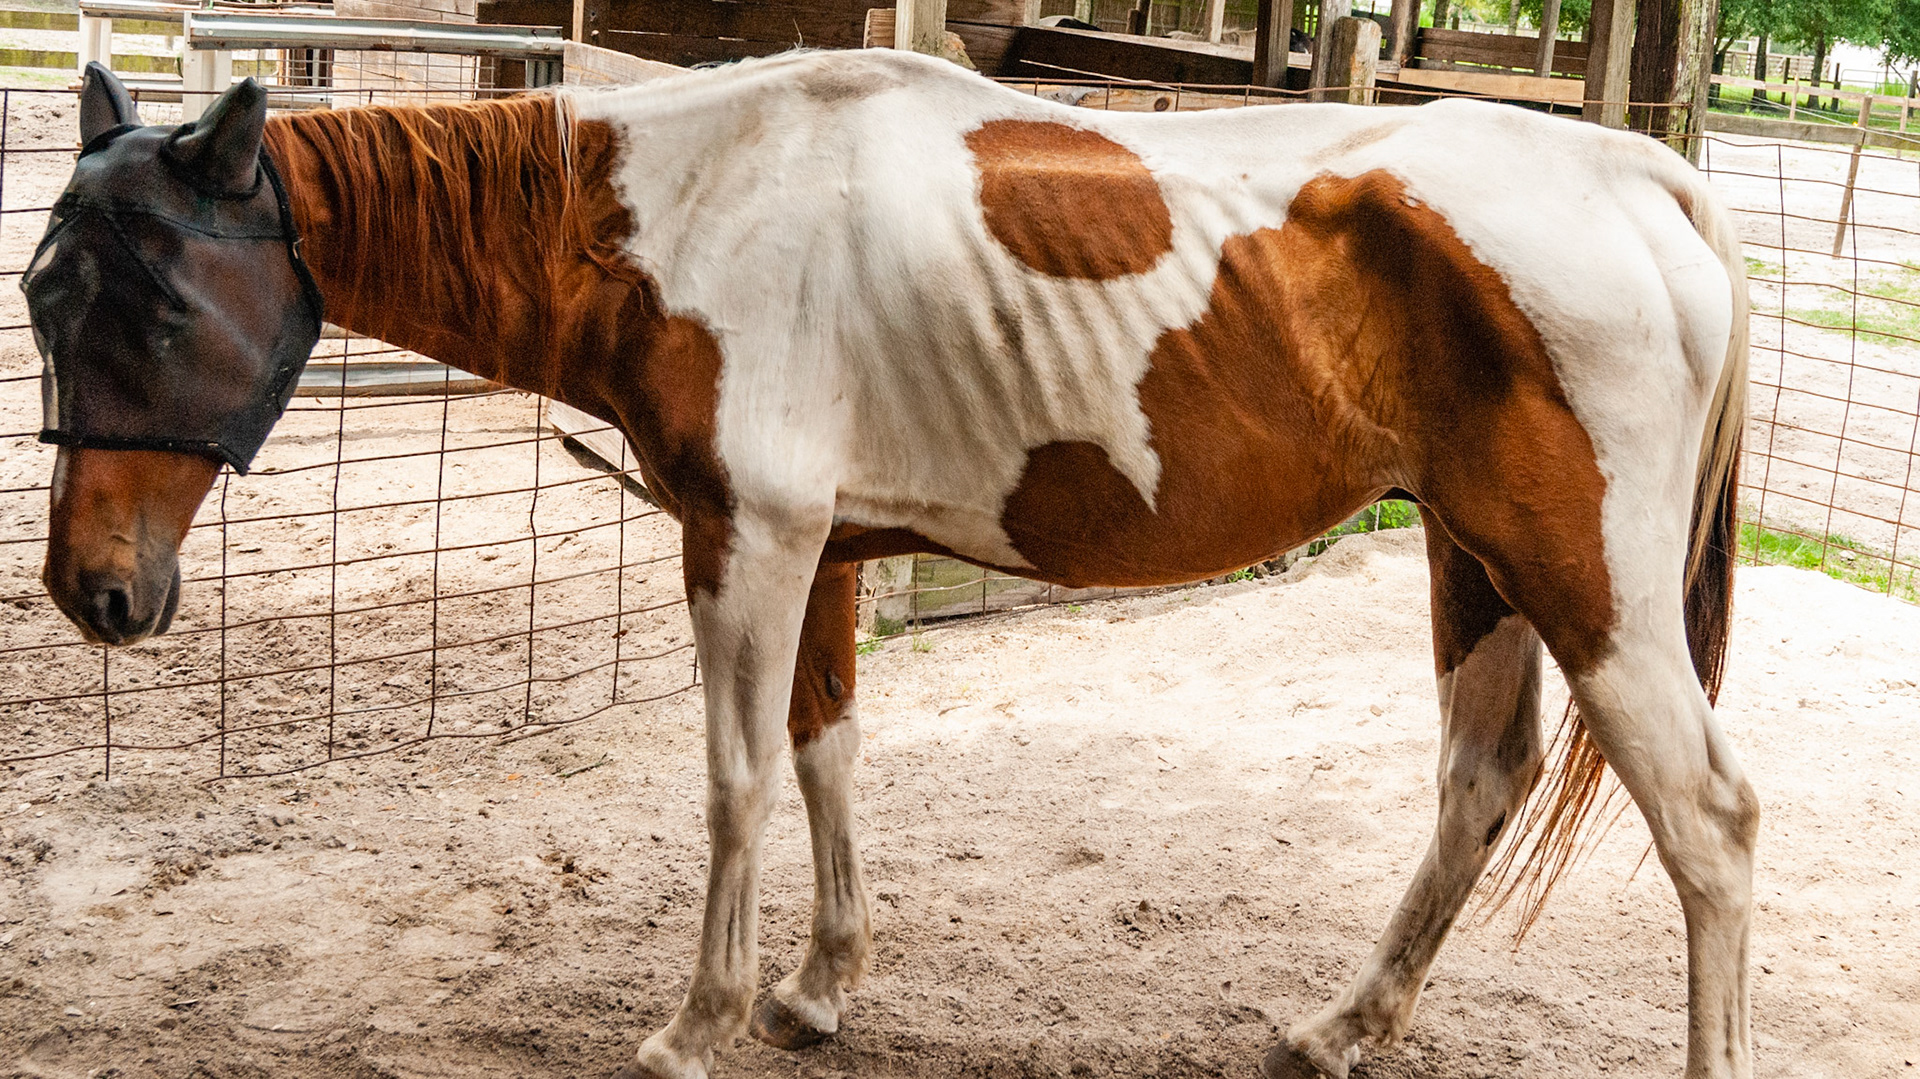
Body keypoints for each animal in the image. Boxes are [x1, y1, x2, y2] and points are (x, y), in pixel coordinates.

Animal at [28, 54, 1754, 1079]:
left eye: (157, 308)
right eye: (47, 296)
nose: (93, 592)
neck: (682, 212)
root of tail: (1644, 182)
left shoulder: (750, 540)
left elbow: (735, 778)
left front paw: (699, 1019)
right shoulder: (828, 551)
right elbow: (826, 754)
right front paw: (815, 986)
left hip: (1583, 585)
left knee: (1711, 825)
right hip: (1479, 563)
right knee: (1481, 781)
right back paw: (1341, 1022)